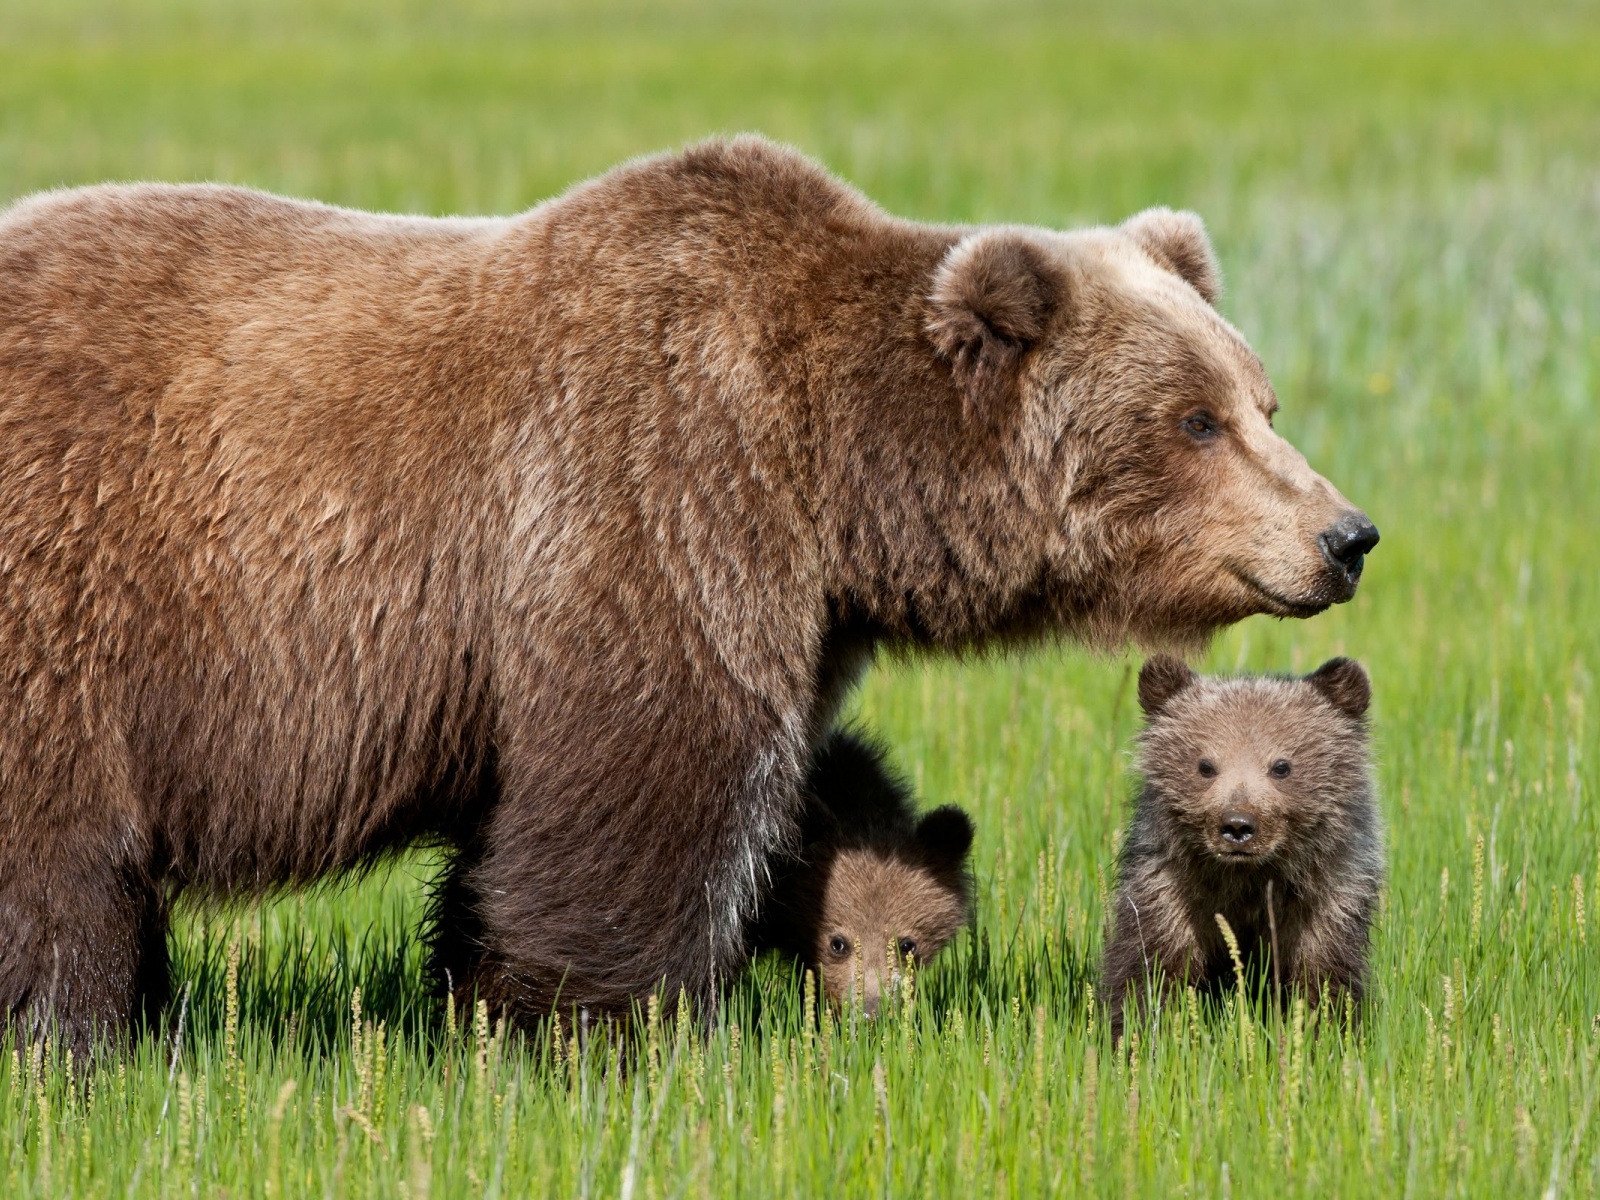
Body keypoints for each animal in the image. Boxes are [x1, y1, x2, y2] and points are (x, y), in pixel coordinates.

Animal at [0, 133, 1376, 1049]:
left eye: (1260, 399)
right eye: (1193, 419)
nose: (1346, 534)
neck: (837, 475)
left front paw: (480, 998)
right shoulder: (656, 496)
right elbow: (647, 784)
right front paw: (615, 1026)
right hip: (73, 606)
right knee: (53, 857)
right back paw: (75, 1036)